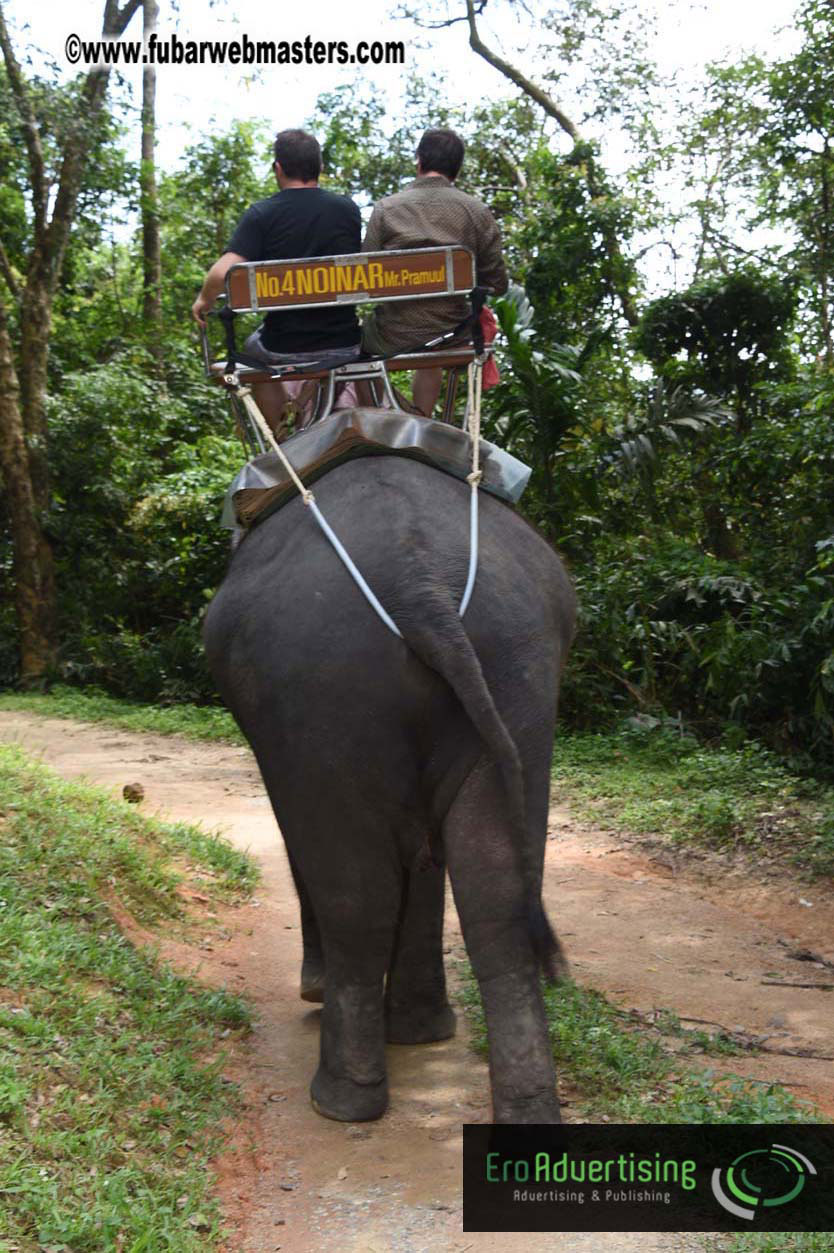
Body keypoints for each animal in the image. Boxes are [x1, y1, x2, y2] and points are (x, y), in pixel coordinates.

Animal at [203, 450, 576, 1124]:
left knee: (357, 891)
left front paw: (323, 993)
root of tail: (419, 581)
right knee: (500, 894)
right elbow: (427, 858)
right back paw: (529, 1111)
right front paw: (420, 1031)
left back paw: (339, 1098)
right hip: (519, 668)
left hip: (322, 682)